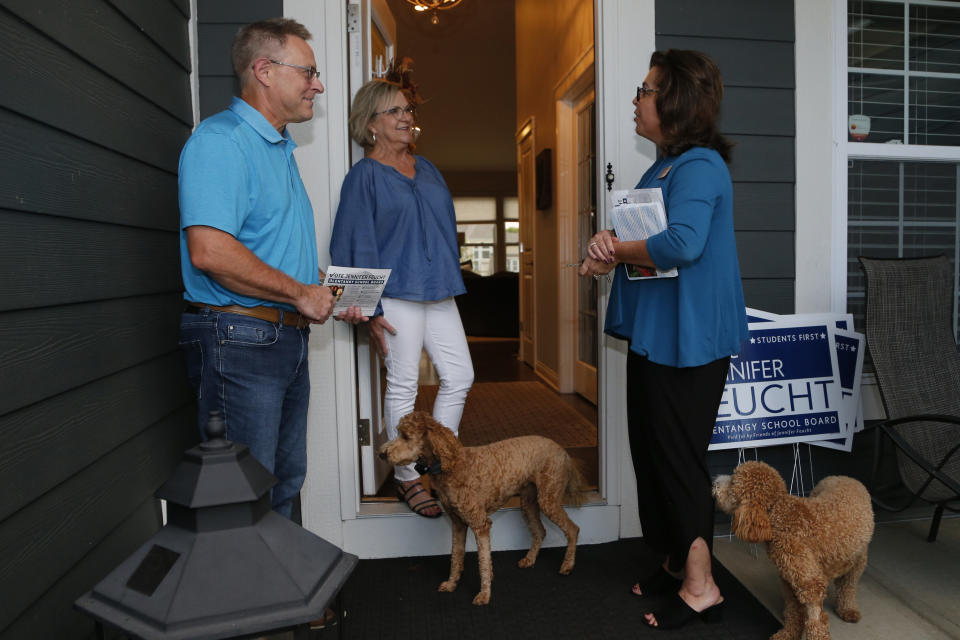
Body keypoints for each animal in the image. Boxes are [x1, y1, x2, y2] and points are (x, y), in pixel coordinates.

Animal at [378, 410, 580, 604]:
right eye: (398, 432)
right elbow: (456, 555)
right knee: (540, 531)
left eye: (406, 436)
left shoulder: (481, 524)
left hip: (548, 499)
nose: (381, 453)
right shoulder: (458, 523)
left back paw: (567, 565)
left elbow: (482, 561)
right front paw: (452, 584)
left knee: (573, 529)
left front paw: (484, 594)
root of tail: (563, 451)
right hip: (529, 502)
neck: (450, 465)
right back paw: (529, 559)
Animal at [712, 460, 876, 640]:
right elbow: (793, 611)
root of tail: (845, 477)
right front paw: (788, 634)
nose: (715, 482)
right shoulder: (790, 581)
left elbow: (816, 619)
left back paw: (849, 609)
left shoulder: (810, 583)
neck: (777, 511)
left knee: (848, 585)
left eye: (733, 482)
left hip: (858, 558)